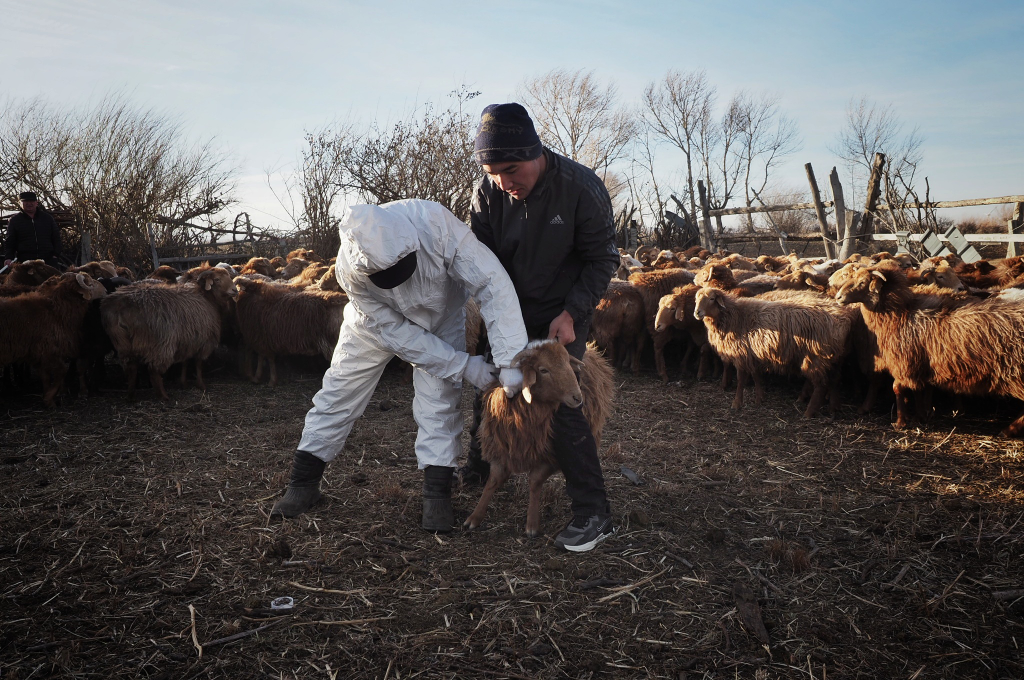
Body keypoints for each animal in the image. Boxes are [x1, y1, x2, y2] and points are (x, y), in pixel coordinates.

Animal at [0, 274, 107, 405]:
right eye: (91, 284)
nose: (105, 290)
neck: (56, 310)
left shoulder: (40, 354)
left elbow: (45, 376)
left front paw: (48, 397)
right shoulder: (49, 350)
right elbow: (61, 372)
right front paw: (49, 398)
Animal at [466, 342, 614, 540]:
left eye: (568, 364)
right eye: (543, 370)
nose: (578, 397)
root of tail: (594, 350)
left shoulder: (550, 457)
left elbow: (535, 482)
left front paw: (532, 525)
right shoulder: (500, 447)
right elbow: (493, 480)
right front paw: (474, 517)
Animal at [696, 284, 856, 417]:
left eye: (711, 298)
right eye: (696, 299)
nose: (697, 312)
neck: (733, 315)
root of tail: (845, 318)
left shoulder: (741, 354)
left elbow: (741, 380)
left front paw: (736, 404)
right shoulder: (754, 353)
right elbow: (756, 376)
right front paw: (759, 399)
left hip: (816, 357)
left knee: (821, 386)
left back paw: (808, 413)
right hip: (835, 357)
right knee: (835, 379)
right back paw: (833, 409)